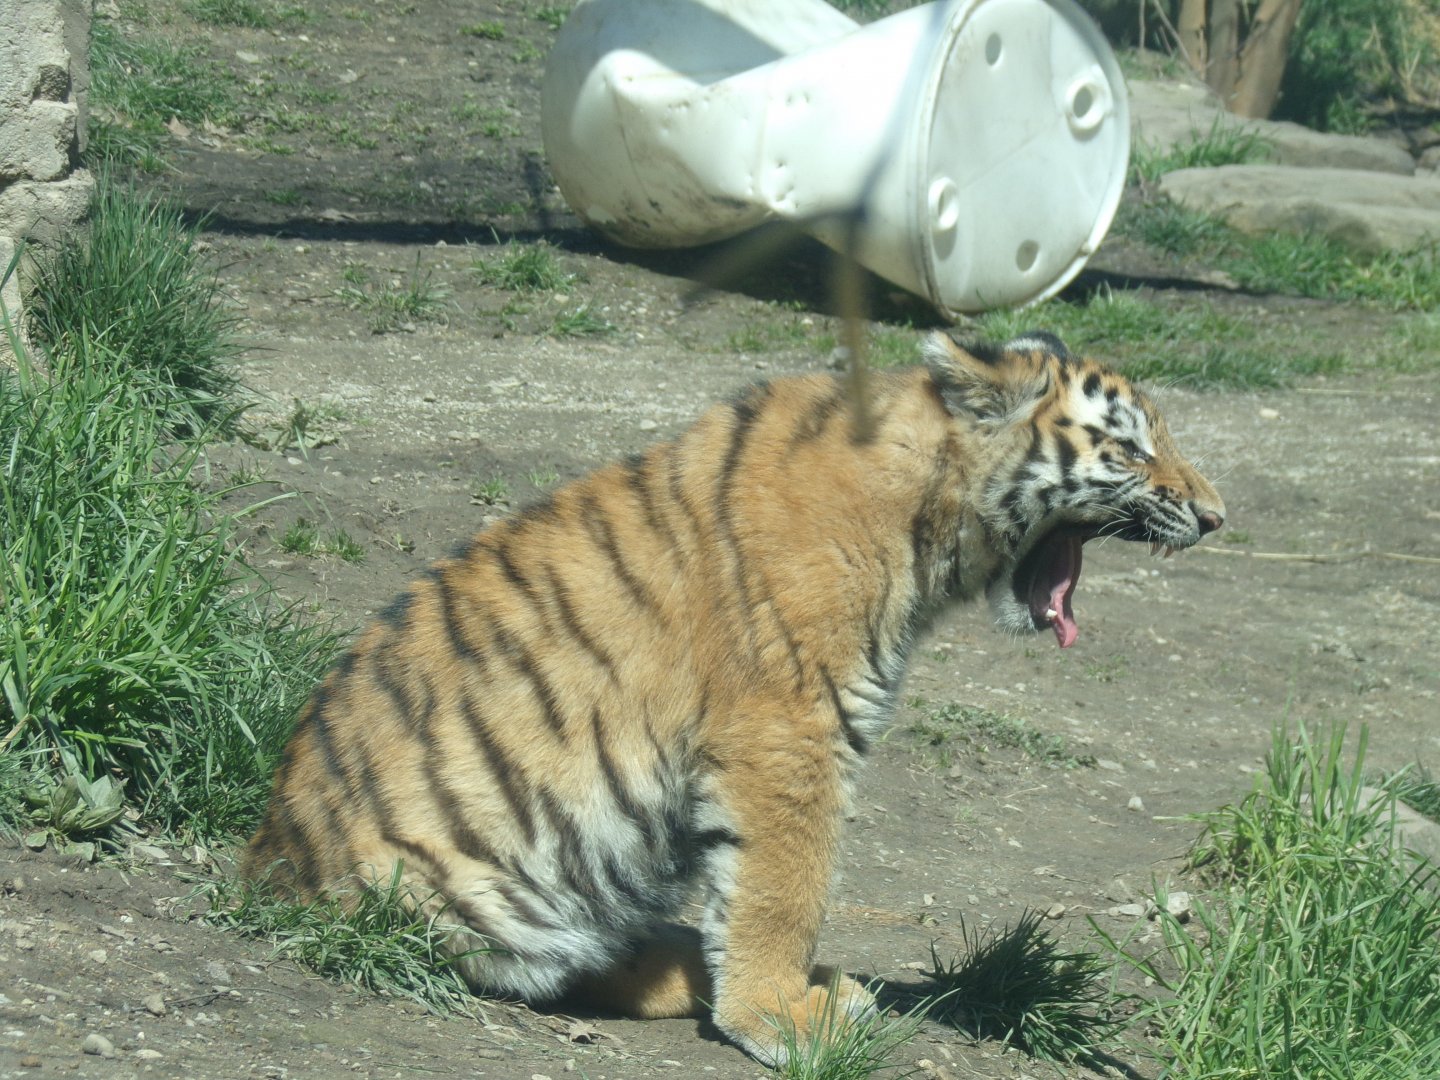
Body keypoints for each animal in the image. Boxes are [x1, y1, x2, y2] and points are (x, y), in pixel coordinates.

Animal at [241, 329, 1224, 1066]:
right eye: (1130, 448)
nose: (1218, 516)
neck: (930, 515)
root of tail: (266, 872)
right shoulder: (792, 728)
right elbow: (785, 886)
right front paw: (783, 1020)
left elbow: (746, 887)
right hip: (474, 897)